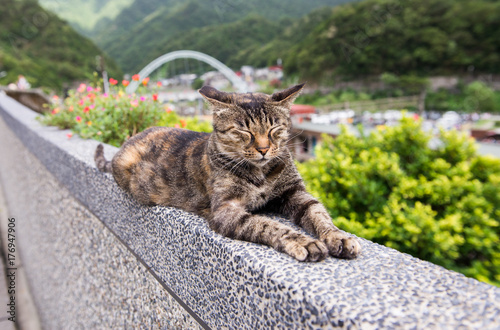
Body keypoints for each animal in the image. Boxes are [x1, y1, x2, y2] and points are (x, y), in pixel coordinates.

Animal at [94, 84, 360, 262]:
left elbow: (317, 212)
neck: (261, 173)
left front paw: (337, 236)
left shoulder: (294, 191)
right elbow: (267, 225)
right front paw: (302, 241)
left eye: (274, 128)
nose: (264, 149)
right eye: (243, 131)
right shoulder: (226, 209)